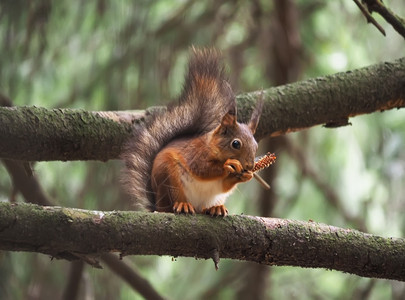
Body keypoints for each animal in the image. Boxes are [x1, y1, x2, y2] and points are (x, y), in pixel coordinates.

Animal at [121, 47, 264, 216]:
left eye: (256, 146)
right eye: (235, 144)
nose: (249, 165)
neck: (212, 146)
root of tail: (157, 205)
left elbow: (225, 184)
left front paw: (247, 175)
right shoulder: (195, 153)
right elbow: (202, 169)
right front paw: (229, 164)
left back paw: (215, 208)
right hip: (168, 179)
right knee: (172, 204)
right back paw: (183, 205)